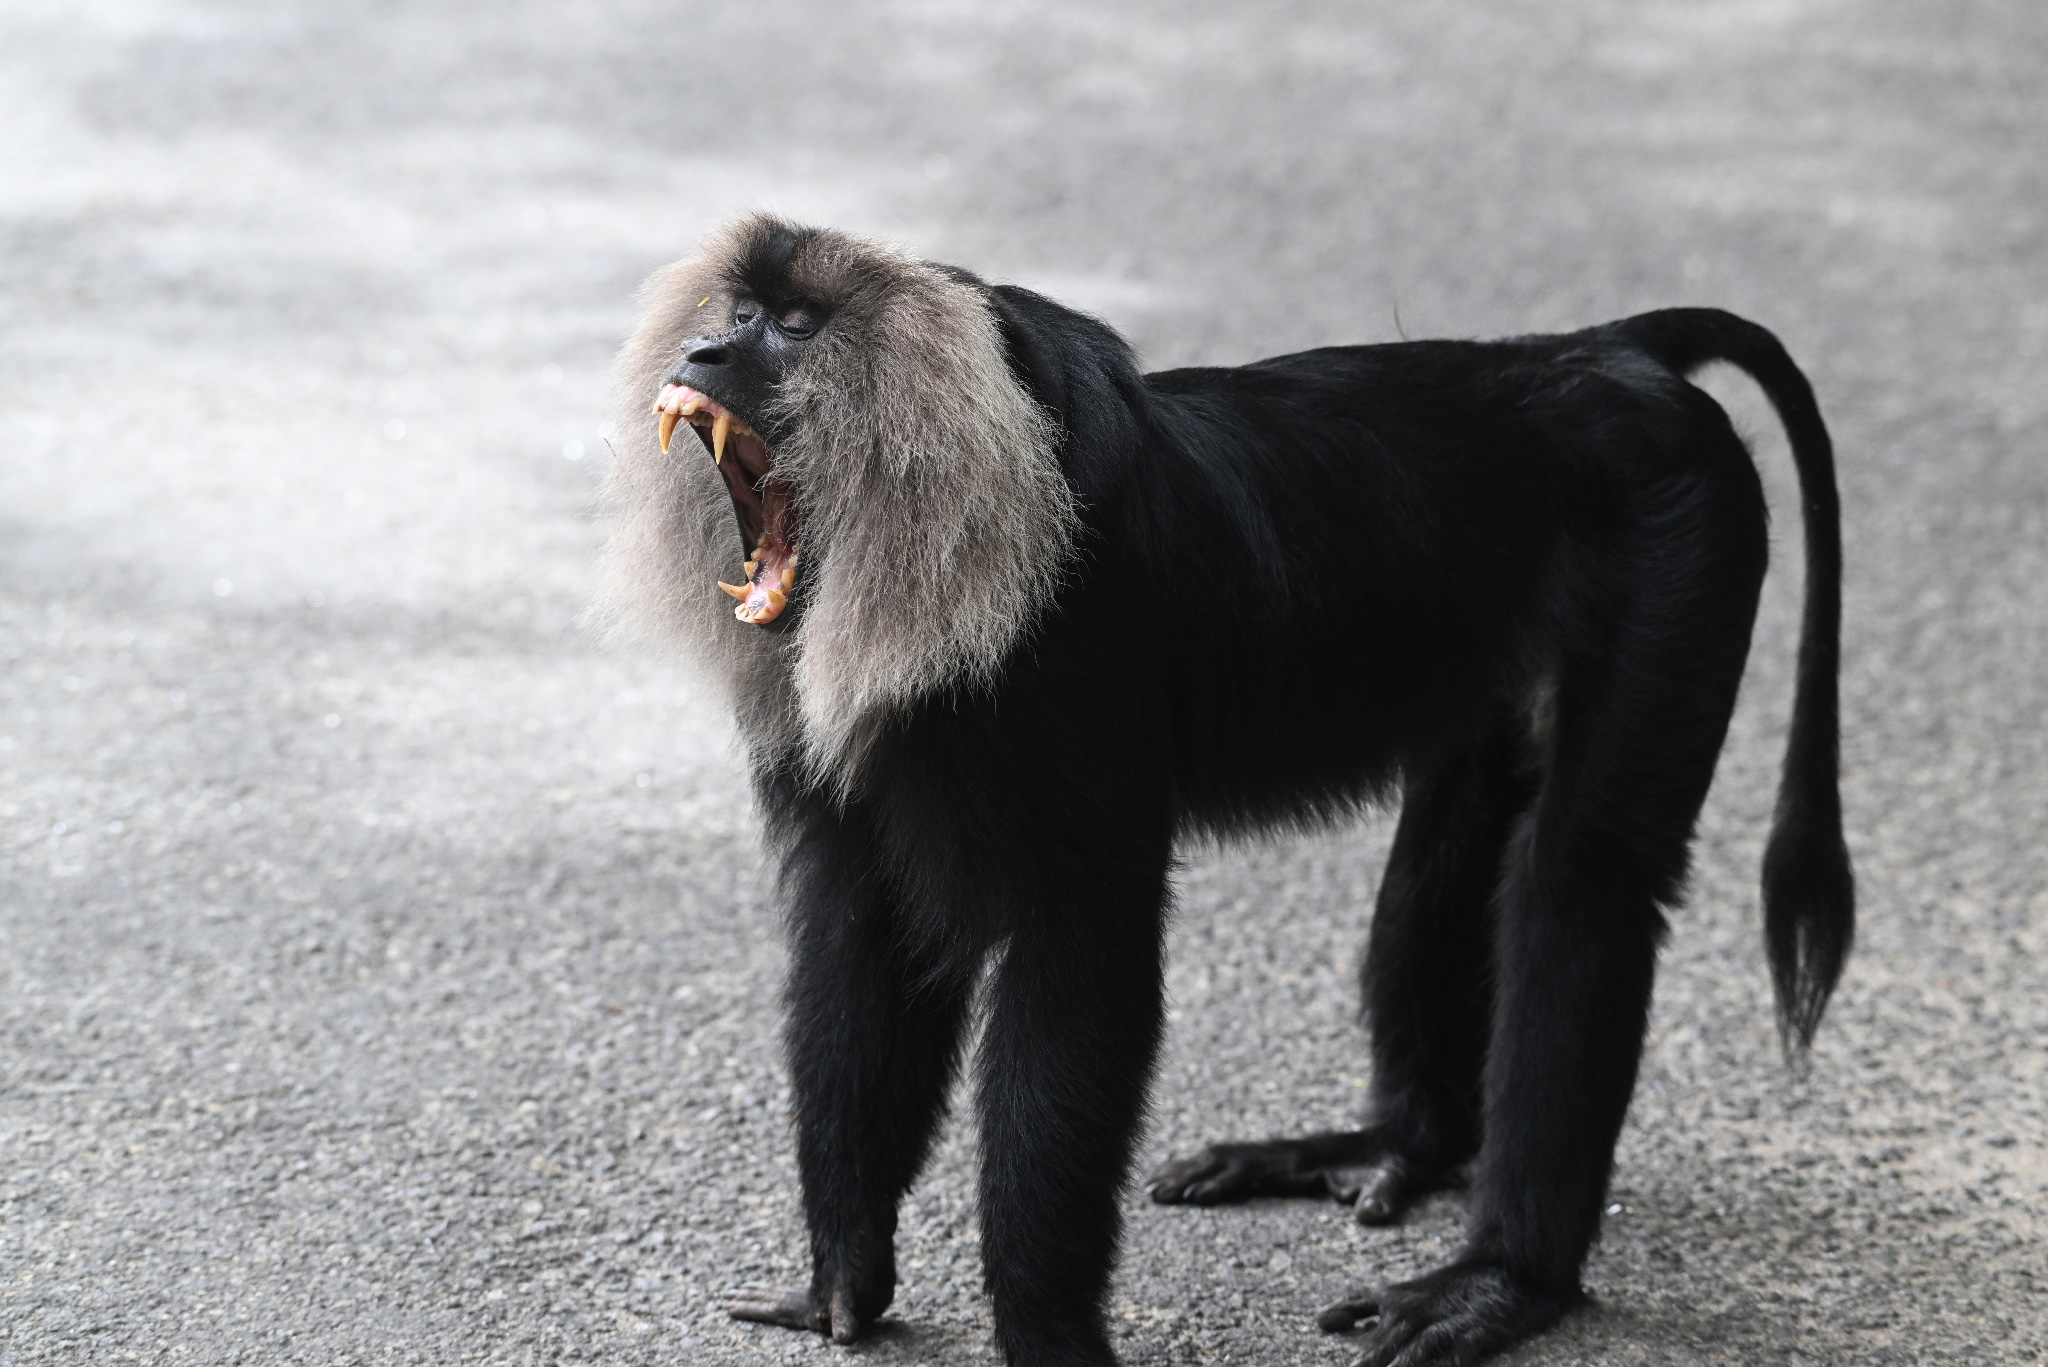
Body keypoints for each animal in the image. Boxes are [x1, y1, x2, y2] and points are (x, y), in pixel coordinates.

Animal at [598, 214, 1859, 1367]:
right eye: (740, 311)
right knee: (1455, 839)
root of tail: (1605, 356)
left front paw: (1048, 1335)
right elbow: (862, 934)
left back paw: (1503, 1280)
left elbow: (1082, 968)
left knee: (1580, 875)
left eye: (793, 327)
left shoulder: (1073, 672)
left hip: (1681, 538)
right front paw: (843, 1272)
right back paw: (1394, 1142)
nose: (707, 348)